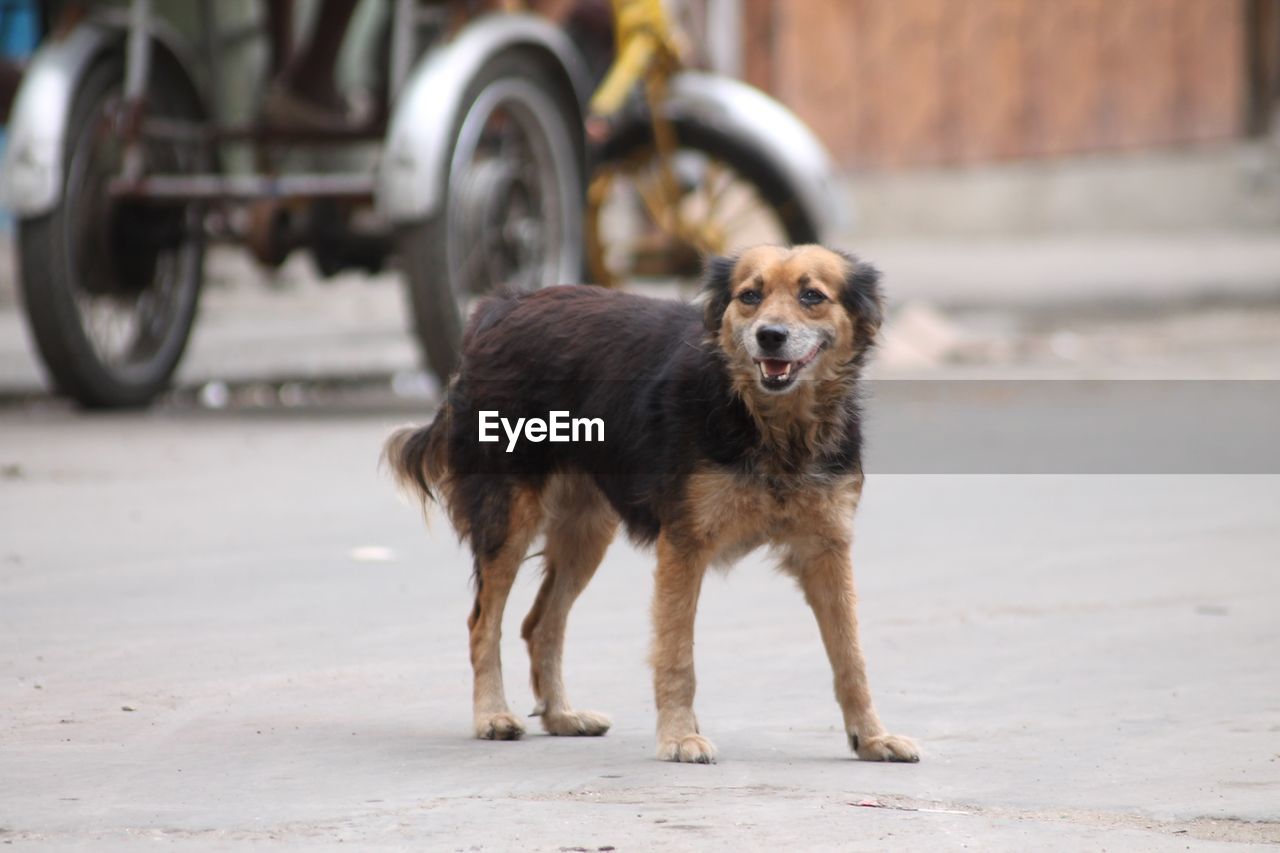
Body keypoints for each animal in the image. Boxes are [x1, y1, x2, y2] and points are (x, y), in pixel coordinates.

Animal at [384, 242, 916, 758]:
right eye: (750, 296)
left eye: (812, 296)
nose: (770, 336)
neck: (773, 427)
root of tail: (502, 306)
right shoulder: (684, 543)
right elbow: (676, 654)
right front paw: (679, 737)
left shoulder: (827, 549)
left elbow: (851, 656)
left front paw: (872, 737)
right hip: (509, 517)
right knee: (483, 623)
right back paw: (492, 715)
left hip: (587, 531)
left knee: (540, 624)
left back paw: (562, 716)